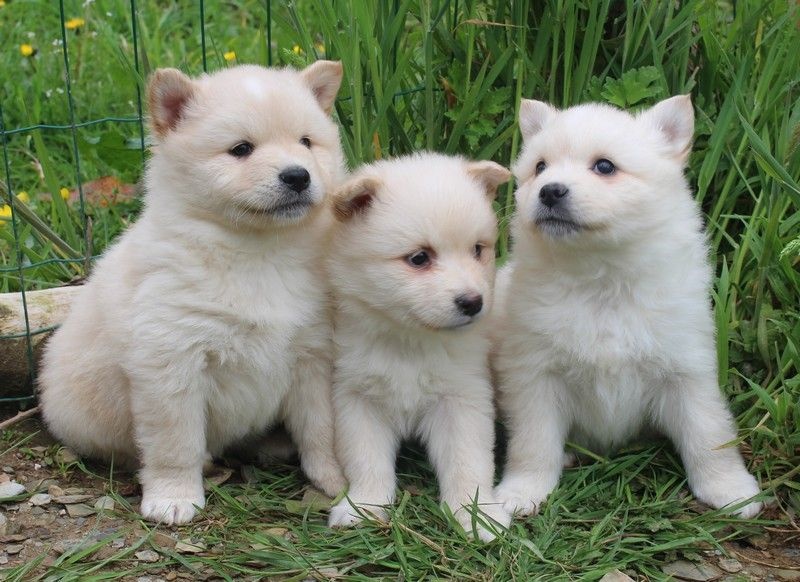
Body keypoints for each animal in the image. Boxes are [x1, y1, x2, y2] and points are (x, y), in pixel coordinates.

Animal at [38, 61, 348, 525]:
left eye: (306, 142)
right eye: (241, 149)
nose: (298, 175)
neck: (259, 252)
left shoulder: (313, 354)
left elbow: (322, 430)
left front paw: (338, 482)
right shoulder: (172, 362)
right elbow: (175, 444)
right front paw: (174, 498)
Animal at [325, 153, 512, 541]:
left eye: (477, 249)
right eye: (419, 258)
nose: (473, 302)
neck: (411, 340)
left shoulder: (462, 398)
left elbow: (468, 461)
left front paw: (476, 514)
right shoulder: (356, 397)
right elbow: (366, 458)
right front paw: (363, 506)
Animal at [493, 96, 762, 519]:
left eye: (605, 166)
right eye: (539, 167)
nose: (549, 191)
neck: (601, 278)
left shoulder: (686, 370)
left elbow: (708, 432)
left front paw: (730, 489)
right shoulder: (535, 375)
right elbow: (532, 442)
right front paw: (523, 490)